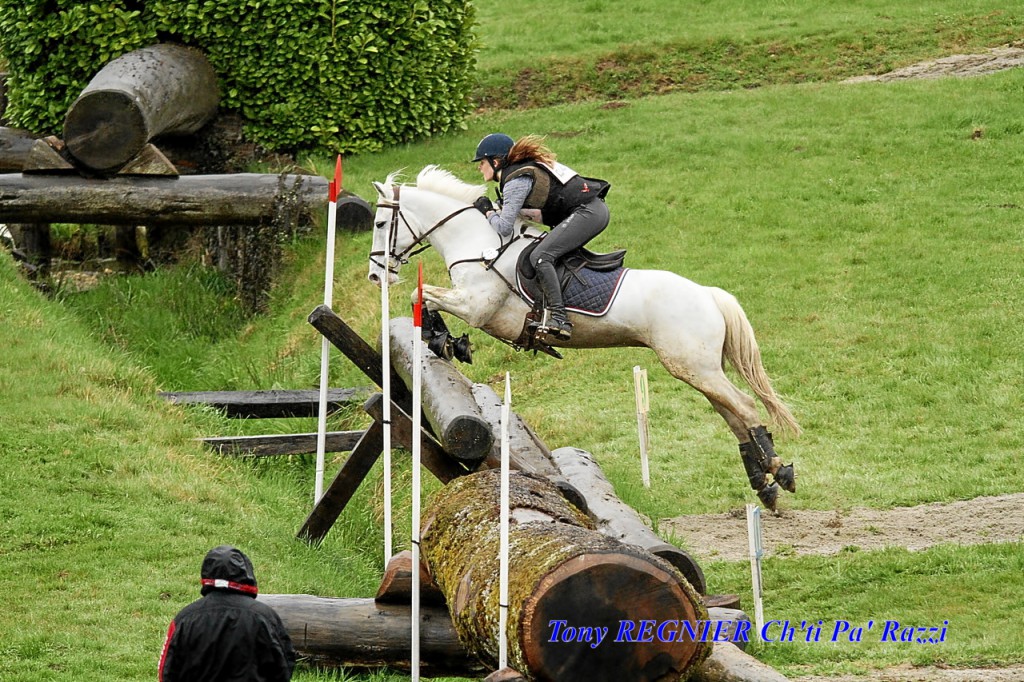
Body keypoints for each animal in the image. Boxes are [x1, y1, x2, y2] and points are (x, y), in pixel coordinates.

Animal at [368, 163, 798, 503]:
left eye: (379, 224)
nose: (375, 275)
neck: (478, 243)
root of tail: (709, 294)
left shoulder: (478, 307)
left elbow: (420, 293)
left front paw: (444, 339)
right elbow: (422, 297)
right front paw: (445, 340)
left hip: (693, 366)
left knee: (745, 406)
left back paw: (778, 470)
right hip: (699, 369)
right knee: (732, 414)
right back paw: (765, 483)